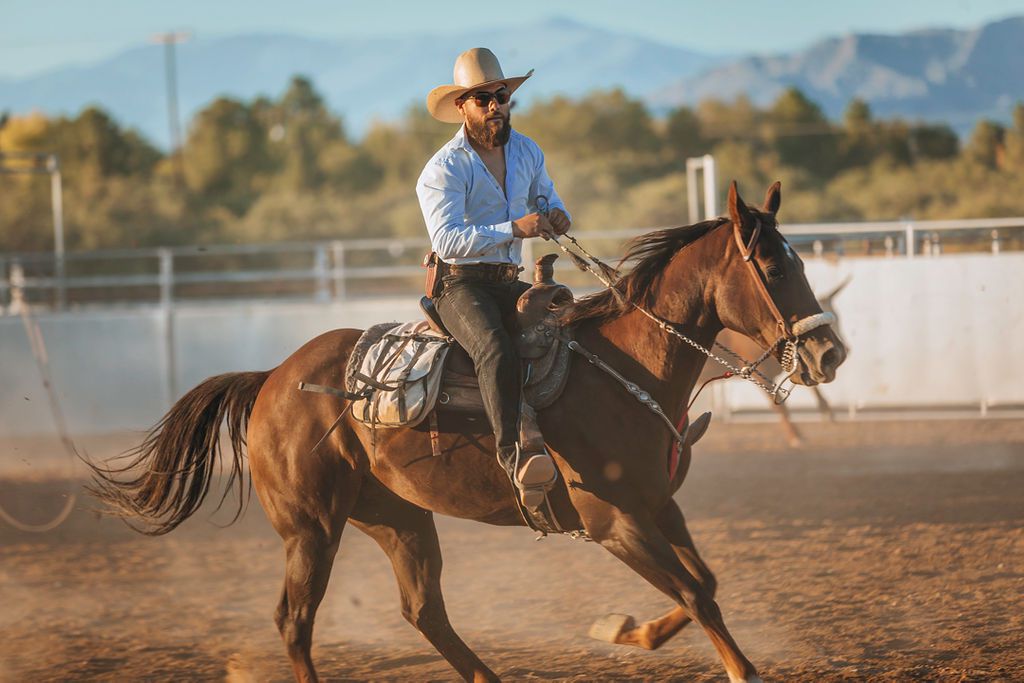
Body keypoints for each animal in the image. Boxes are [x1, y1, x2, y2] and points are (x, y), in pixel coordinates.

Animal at [88, 183, 843, 683]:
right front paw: (731, 665)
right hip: (312, 527)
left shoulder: (660, 504)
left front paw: (628, 630)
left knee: (424, 611)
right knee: (295, 622)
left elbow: (703, 583)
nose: (831, 352)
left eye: (802, 262)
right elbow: (693, 592)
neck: (627, 368)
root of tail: (273, 376)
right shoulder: (615, 522)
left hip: (398, 516)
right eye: (774, 267)